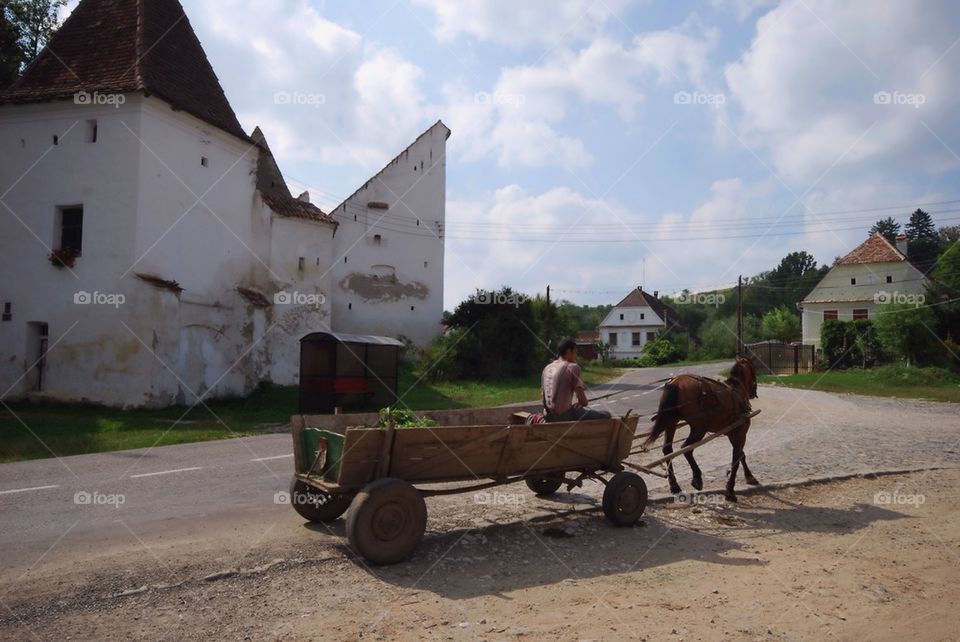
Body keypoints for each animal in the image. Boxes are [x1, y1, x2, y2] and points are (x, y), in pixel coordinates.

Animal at [644, 356, 756, 500]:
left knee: (668, 450)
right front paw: (730, 490)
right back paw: (697, 478)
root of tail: (676, 382)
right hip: (699, 428)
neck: (737, 390)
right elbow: (736, 459)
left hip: (672, 422)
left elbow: (741, 455)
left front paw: (749, 477)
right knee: (686, 448)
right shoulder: (740, 432)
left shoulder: (732, 433)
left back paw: (675, 486)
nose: (754, 392)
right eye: (753, 370)